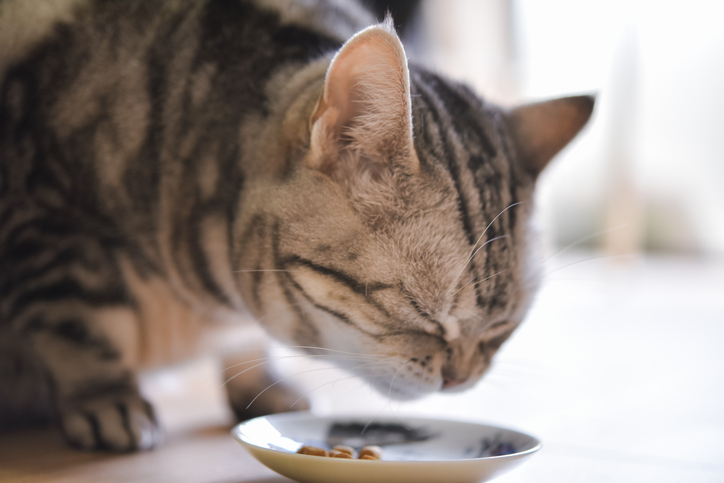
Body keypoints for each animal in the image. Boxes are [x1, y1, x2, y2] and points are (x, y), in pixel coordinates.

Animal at [0, 0, 592, 452]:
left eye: (500, 330)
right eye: (423, 317)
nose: (461, 378)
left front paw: (262, 384)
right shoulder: (45, 217)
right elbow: (78, 325)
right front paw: (107, 400)